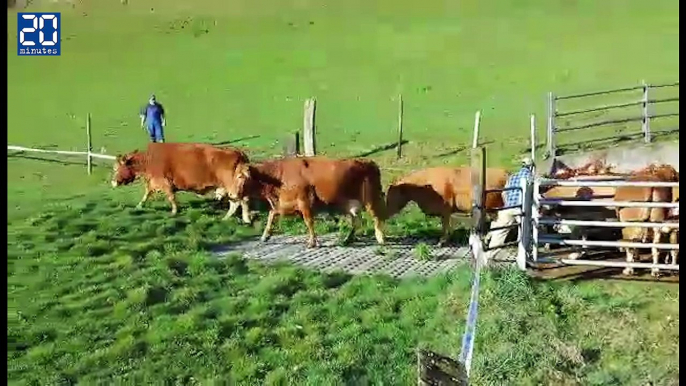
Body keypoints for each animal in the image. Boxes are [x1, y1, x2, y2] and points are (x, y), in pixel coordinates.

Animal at [110, 142, 253, 220]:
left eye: (116, 168)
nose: (113, 182)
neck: (149, 160)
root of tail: (237, 151)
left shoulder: (164, 182)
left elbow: (171, 197)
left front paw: (174, 211)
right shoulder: (153, 182)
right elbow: (147, 193)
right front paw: (140, 205)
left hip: (232, 187)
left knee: (239, 201)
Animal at [231, 156, 390, 247]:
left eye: (240, 176)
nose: (231, 195)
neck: (277, 178)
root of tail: (369, 162)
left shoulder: (304, 202)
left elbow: (309, 222)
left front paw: (312, 242)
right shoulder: (285, 203)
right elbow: (272, 215)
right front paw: (265, 236)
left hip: (370, 199)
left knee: (377, 217)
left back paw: (380, 238)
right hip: (350, 204)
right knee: (357, 222)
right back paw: (347, 239)